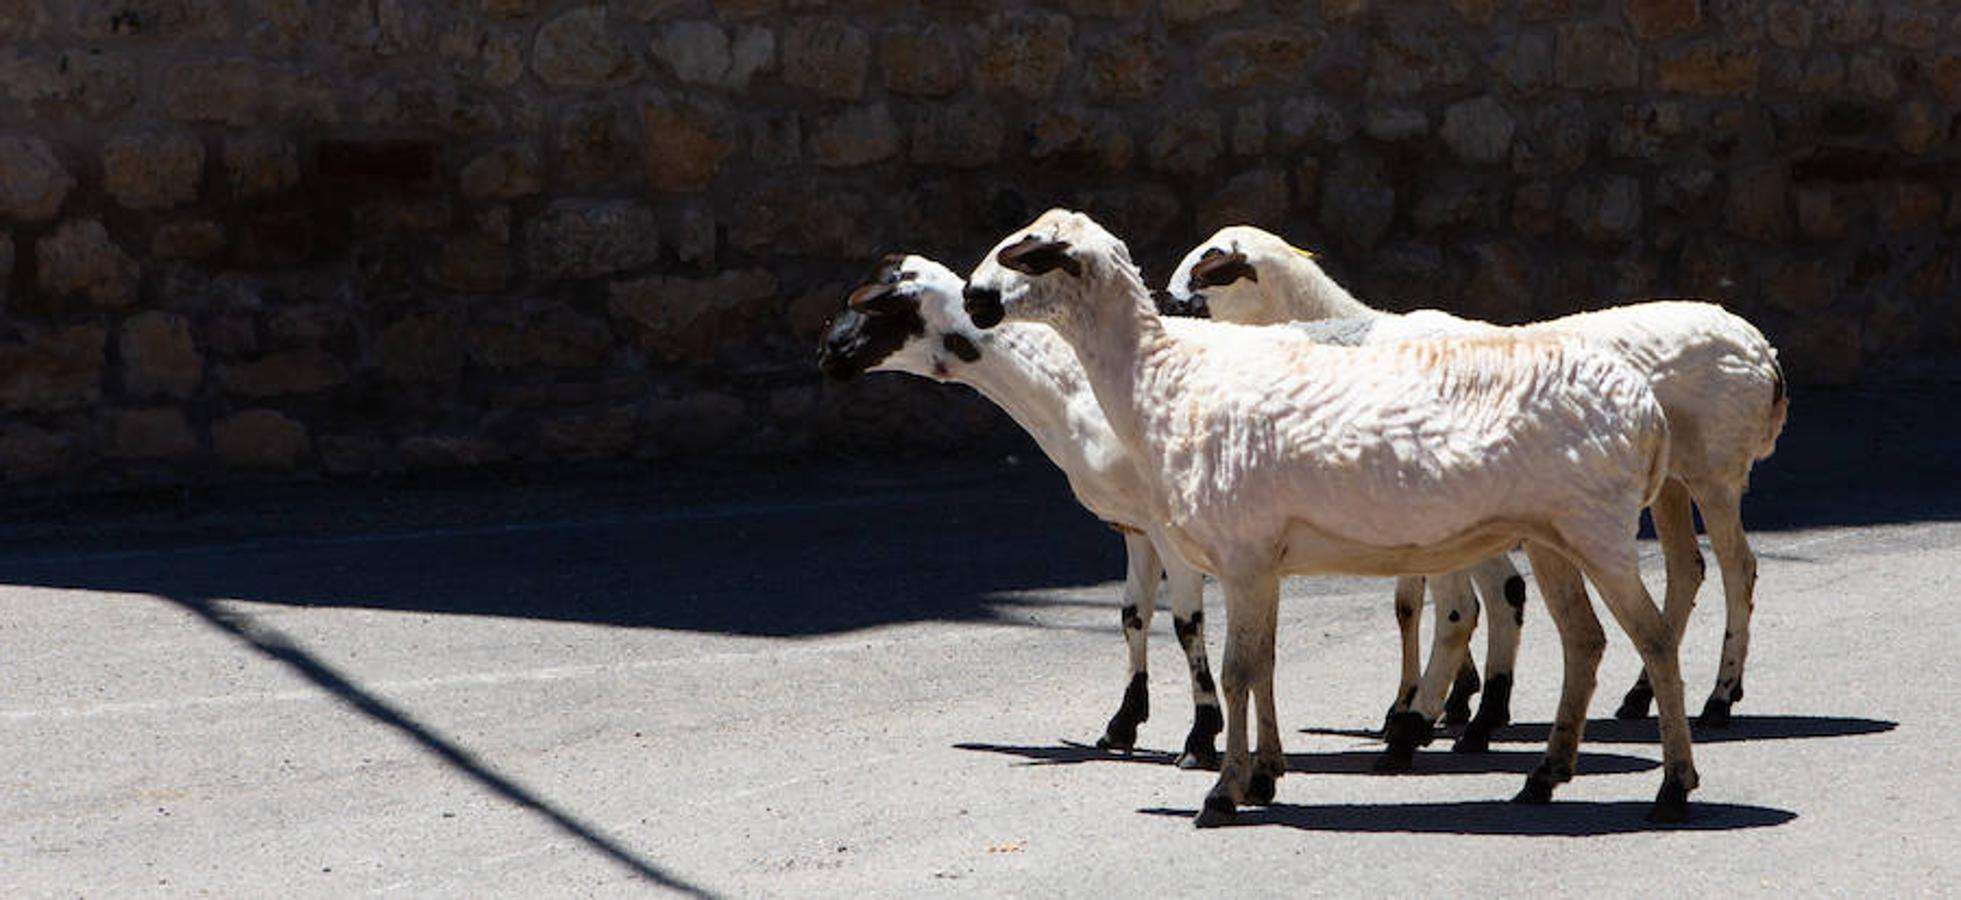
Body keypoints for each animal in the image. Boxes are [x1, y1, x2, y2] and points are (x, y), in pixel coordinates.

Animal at [815, 250, 1223, 768]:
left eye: (882, 304)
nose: (828, 351)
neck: (1067, 382)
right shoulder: (1135, 523)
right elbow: (1133, 616)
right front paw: (1122, 725)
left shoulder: (1172, 529)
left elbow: (1187, 624)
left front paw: (1202, 738)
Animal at [968, 207, 1702, 827]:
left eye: (1034, 254)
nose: (975, 298)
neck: (1163, 381)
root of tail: (1647, 411)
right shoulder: (1263, 563)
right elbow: (1263, 665)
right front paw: (1262, 776)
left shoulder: (1242, 555)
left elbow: (1237, 673)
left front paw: (1222, 792)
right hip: (1554, 535)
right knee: (1585, 641)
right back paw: (1543, 777)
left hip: (1598, 528)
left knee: (1653, 638)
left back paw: (1671, 788)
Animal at [1160, 221, 1796, 745]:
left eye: (1206, 276)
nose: (1167, 310)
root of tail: (1763, 352)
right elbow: (1411, 600)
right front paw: (1443, 699)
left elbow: (1443, 601)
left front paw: (1430, 706)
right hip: (1671, 484)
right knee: (1688, 569)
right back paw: (1641, 696)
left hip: (1716, 473)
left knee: (1738, 568)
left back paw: (1720, 697)